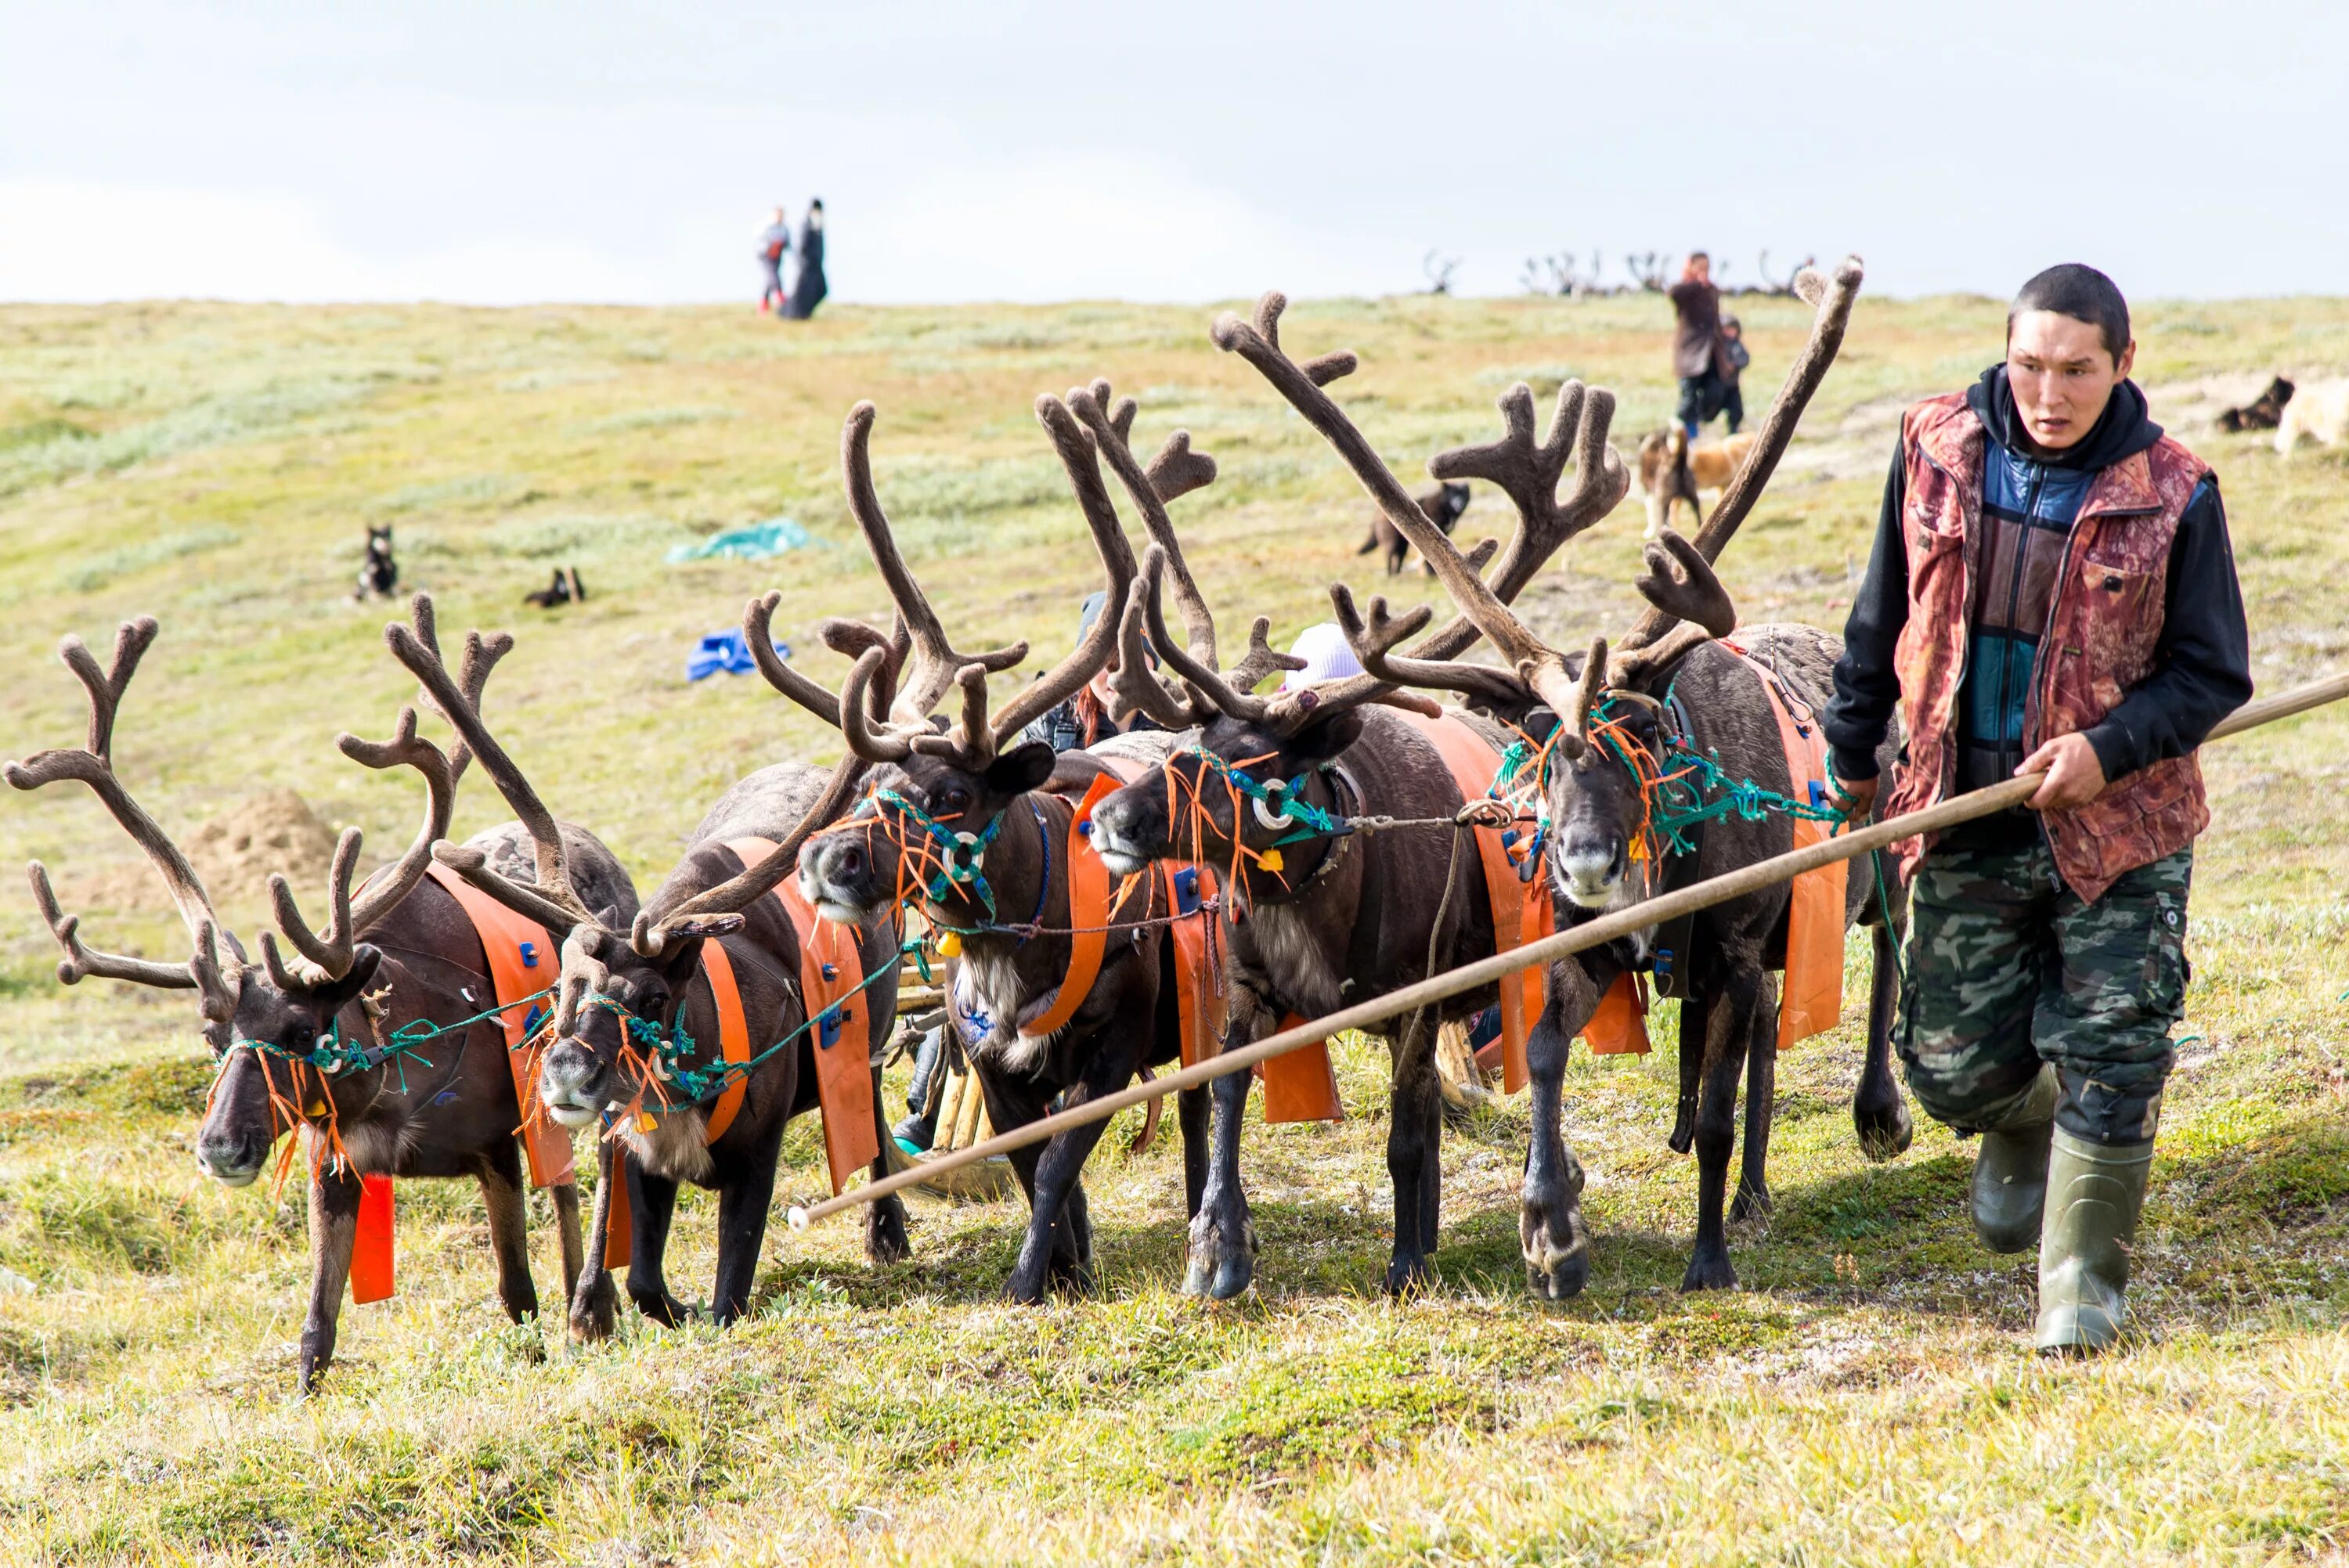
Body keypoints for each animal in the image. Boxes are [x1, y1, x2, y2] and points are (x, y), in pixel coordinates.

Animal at [1362, 481, 1466, 579]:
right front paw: (1431, 574)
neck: (1442, 505)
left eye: (1462, 494)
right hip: (1392, 541)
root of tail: (1376, 514)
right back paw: (1390, 574)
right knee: (1389, 555)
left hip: (1402, 543)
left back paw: (1398, 573)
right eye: (1453, 494)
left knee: (1400, 557)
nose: (1459, 502)